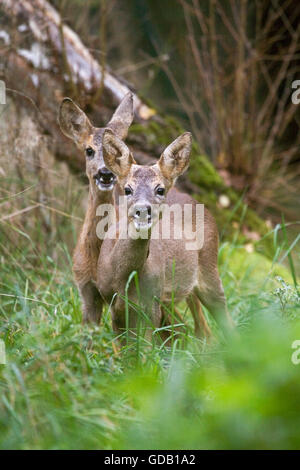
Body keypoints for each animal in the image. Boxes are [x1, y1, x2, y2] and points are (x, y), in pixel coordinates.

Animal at [98, 129, 234, 342]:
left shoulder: (151, 302)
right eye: (128, 189)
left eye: (160, 189)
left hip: (209, 265)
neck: (123, 279)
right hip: (179, 292)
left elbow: (146, 345)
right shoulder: (112, 304)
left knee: (223, 317)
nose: (142, 210)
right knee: (197, 327)